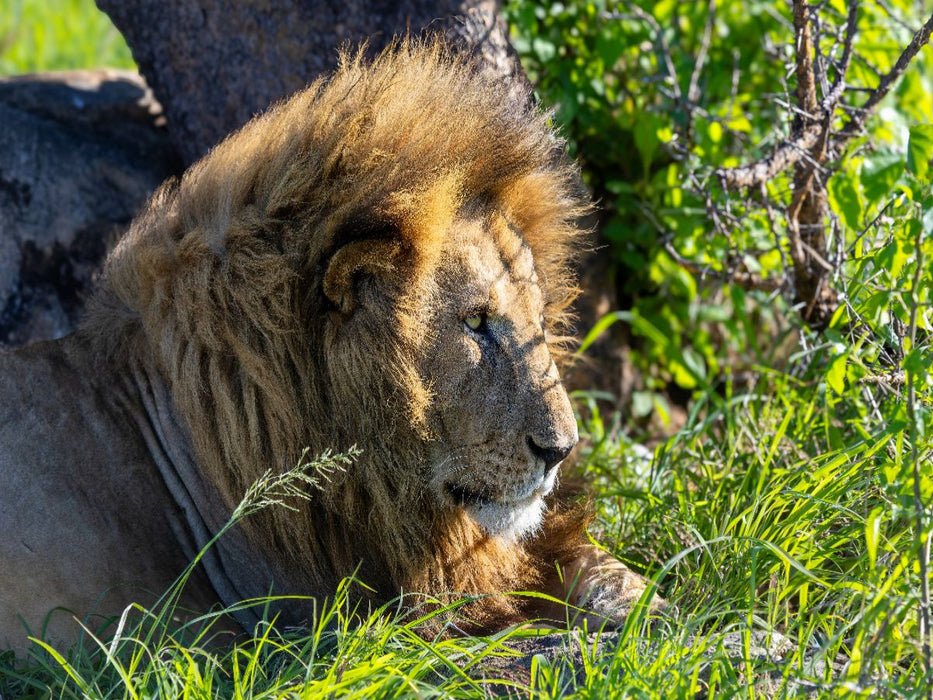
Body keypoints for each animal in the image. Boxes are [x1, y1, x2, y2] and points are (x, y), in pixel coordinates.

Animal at [0, 40, 659, 650]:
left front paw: (658, 612)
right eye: (475, 322)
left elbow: (601, 569)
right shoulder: (340, 619)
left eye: (538, 320)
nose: (562, 451)